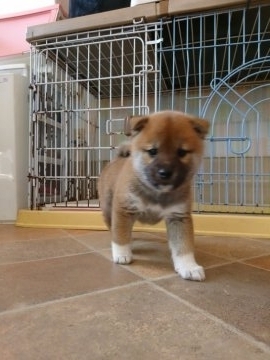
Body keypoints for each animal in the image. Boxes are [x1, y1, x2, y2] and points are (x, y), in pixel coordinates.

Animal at [98, 111, 209, 280]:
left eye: (182, 152)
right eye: (152, 151)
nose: (165, 172)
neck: (157, 193)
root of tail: (116, 160)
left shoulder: (179, 217)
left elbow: (184, 245)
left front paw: (189, 266)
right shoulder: (124, 209)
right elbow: (120, 235)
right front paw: (122, 254)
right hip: (108, 210)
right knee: (114, 228)